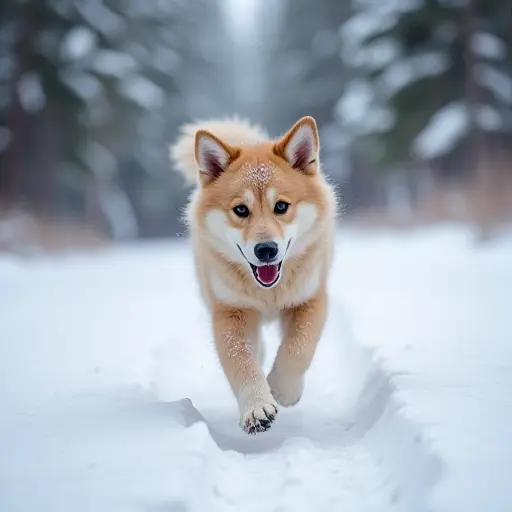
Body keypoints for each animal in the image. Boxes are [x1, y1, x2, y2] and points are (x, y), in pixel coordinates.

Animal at [170, 115, 338, 432]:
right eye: (240, 210)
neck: (269, 292)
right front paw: (258, 407)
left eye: (281, 206)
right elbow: (241, 362)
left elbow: (298, 348)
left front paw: (283, 389)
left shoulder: (309, 300)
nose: (266, 250)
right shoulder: (231, 312)